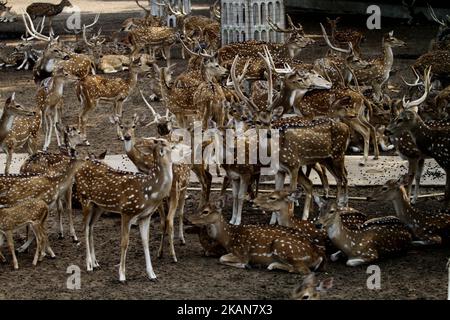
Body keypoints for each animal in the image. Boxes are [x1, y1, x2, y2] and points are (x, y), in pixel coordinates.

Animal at [74, 138, 173, 280]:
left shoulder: (145, 216)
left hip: (98, 206)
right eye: (160, 141)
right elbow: (124, 242)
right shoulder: (127, 211)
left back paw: (96, 262)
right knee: (85, 227)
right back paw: (89, 264)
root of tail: (79, 168)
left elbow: (145, 242)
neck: (149, 192)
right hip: (84, 199)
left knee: (91, 227)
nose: (174, 145)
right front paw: (121, 275)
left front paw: (152, 274)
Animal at [188, 201, 326, 274]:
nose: (188, 218)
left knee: (303, 270)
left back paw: (272, 265)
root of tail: (318, 255)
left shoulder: (242, 252)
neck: (228, 238)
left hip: (282, 245)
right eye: (199, 207)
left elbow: (222, 258)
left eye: (205, 211)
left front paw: (245, 265)